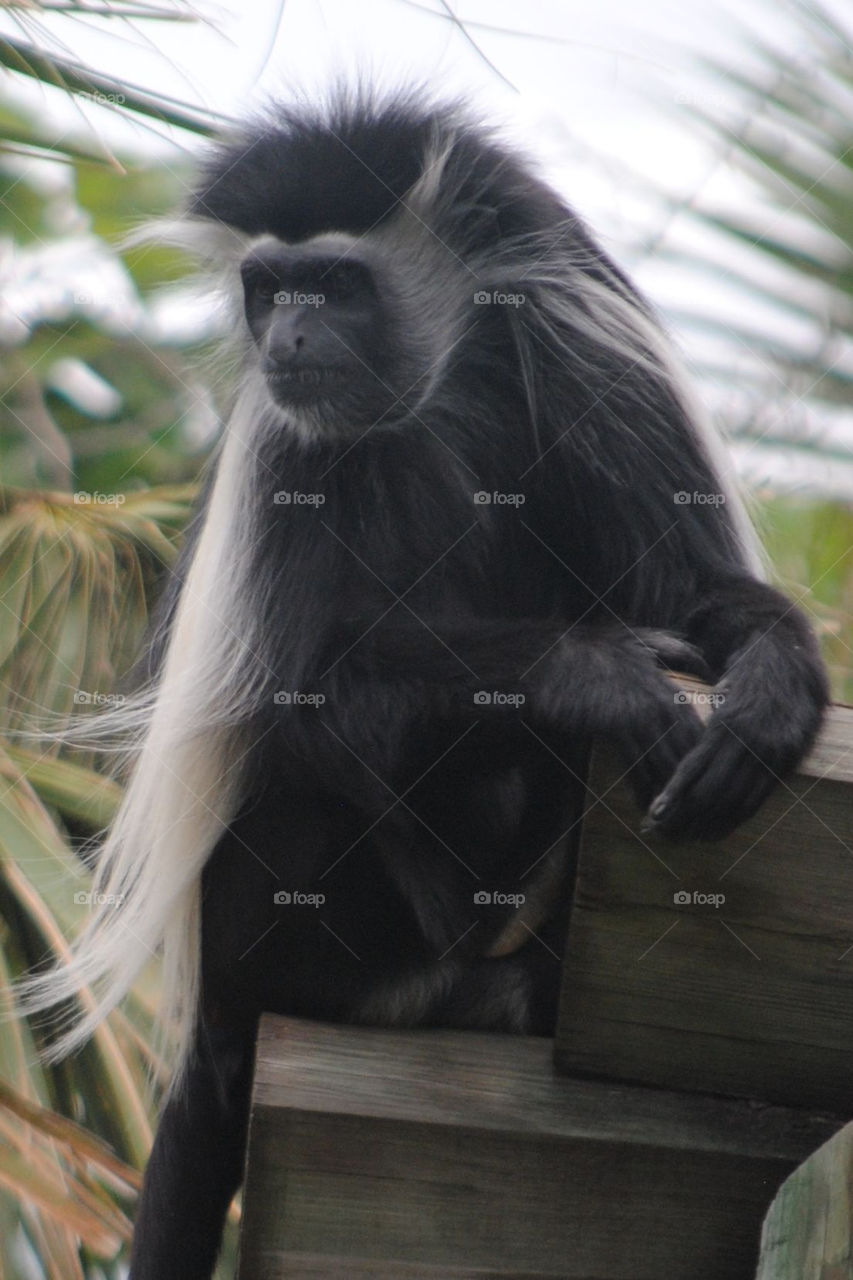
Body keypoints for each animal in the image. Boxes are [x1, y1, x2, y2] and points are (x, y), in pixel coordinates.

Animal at [17, 89, 828, 1279]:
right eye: (271, 288)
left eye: (338, 282)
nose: (287, 336)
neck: (438, 385)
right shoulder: (281, 456)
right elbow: (275, 715)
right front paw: (588, 674)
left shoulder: (585, 353)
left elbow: (687, 587)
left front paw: (767, 688)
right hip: (294, 923)